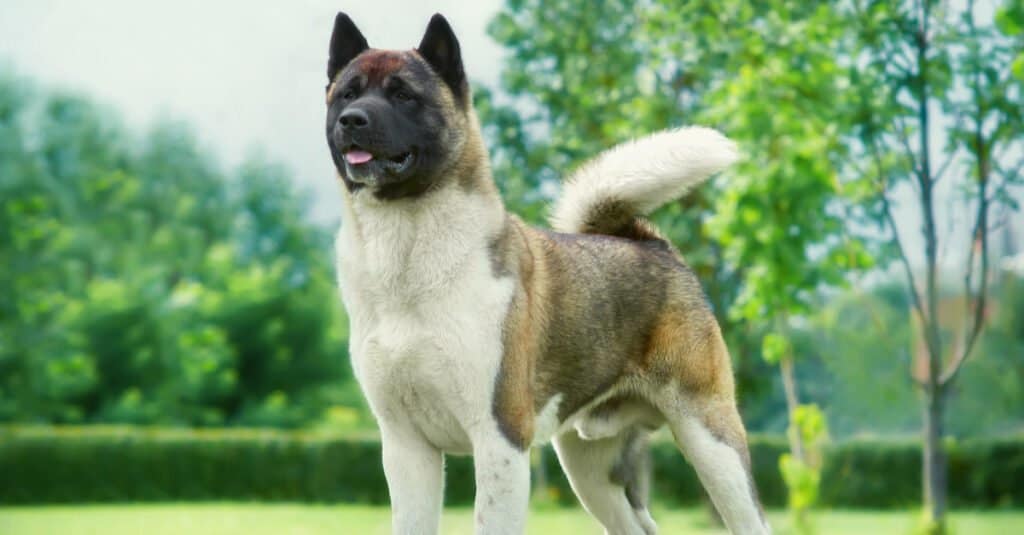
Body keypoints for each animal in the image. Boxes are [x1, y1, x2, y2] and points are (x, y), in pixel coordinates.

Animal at [325, 12, 770, 532]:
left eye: (403, 95)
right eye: (347, 94)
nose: (352, 120)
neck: (408, 251)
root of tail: (653, 246)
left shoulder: (499, 437)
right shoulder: (404, 446)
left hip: (712, 440)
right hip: (591, 467)